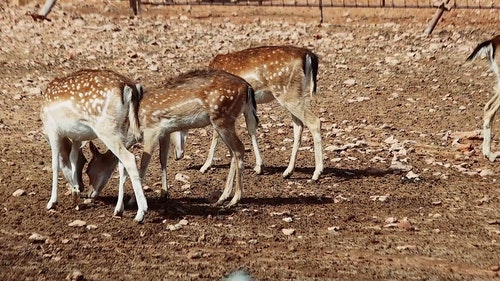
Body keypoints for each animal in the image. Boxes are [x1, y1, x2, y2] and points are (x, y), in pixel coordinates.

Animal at [41, 68, 147, 221]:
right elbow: (73, 157)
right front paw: (75, 194)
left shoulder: (53, 129)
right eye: (84, 162)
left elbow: (55, 164)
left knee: (129, 159)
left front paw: (52, 202)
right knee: (121, 162)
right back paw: (118, 209)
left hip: (106, 128)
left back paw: (140, 213)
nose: (81, 187)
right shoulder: (77, 136)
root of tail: (131, 87)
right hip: (123, 127)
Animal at [86, 69, 258, 207]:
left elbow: (144, 163)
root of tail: (248, 87)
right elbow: (163, 160)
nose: (88, 194)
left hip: (222, 118)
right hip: (223, 122)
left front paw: (132, 200)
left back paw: (235, 199)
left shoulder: (151, 130)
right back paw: (222, 197)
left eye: (88, 170)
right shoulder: (165, 132)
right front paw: (164, 194)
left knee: (239, 149)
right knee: (233, 152)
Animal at [191, 43, 324, 179]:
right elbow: (251, 128)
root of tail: (308, 55)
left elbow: (216, 133)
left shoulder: (221, 107)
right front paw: (259, 166)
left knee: (314, 122)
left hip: (288, 94)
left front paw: (205, 166)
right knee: (299, 126)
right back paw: (288, 171)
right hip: (296, 94)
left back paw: (317, 173)